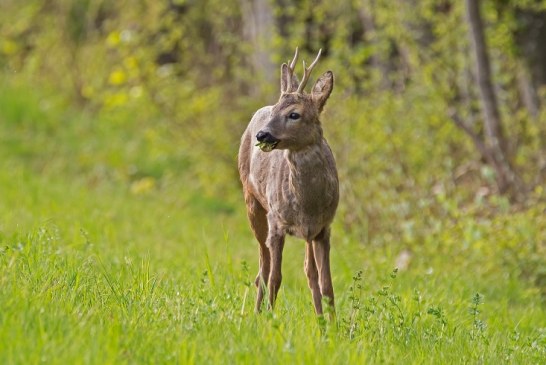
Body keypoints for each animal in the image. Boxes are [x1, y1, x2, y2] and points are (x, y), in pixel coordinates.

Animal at [237, 48, 336, 316]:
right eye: (274, 112)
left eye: (294, 114)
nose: (263, 134)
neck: (307, 204)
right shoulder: (277, 222)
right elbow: (275, 277)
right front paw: (271, 318)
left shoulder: (323, 228)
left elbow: (325, 284)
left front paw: (332, 324)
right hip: (252, 202)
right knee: (262, 269)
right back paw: (255, 312)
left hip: (308, 234)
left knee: (308, 271)